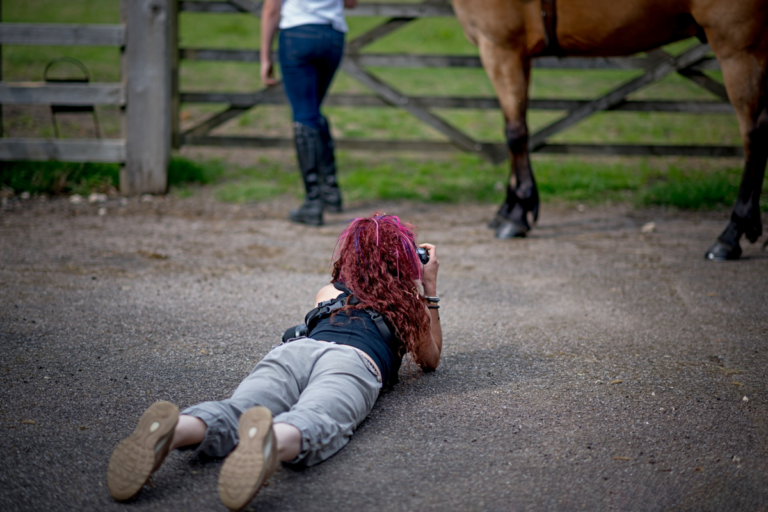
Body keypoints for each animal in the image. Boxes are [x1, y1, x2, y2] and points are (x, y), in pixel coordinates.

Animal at [452, 0, 764, 260]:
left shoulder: (500, 46)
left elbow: (515, 132)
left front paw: (515, 215)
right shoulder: (516, 52)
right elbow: (516, 125)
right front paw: (509, 207)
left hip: (738, 44)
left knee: (753, 132)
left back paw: (730, 236)